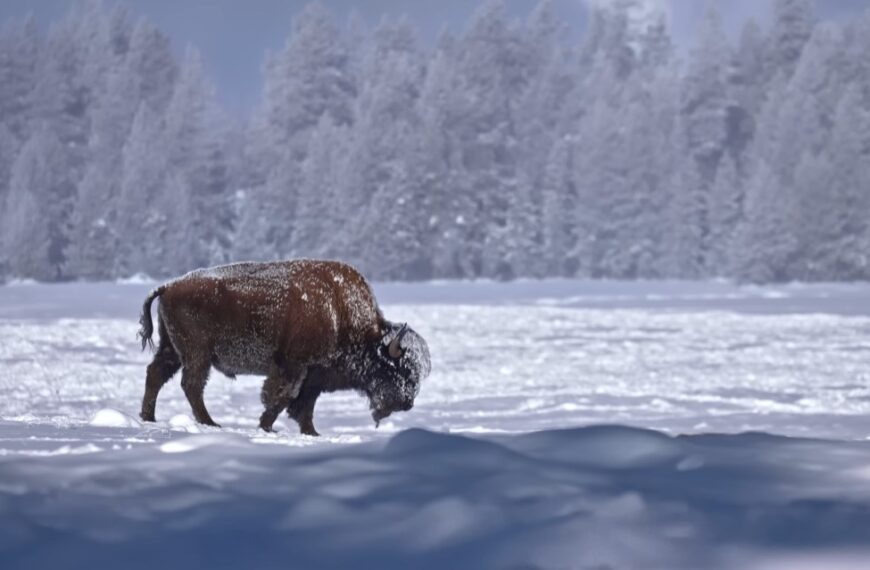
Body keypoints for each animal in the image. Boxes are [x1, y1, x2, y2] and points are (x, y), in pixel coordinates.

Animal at [136, 260, 432, 432]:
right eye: (399, 370)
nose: (407, 404)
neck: (340, 313)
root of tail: (169, 286)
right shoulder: (293, 366)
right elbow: (282, 397)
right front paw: (266, 427)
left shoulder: (314, 376)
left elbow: (304, 405)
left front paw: (311, 433)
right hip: (198, 355)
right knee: (191, 385)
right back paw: (210, 422)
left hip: (173, 350)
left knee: (156, 374)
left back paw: (149, 417)